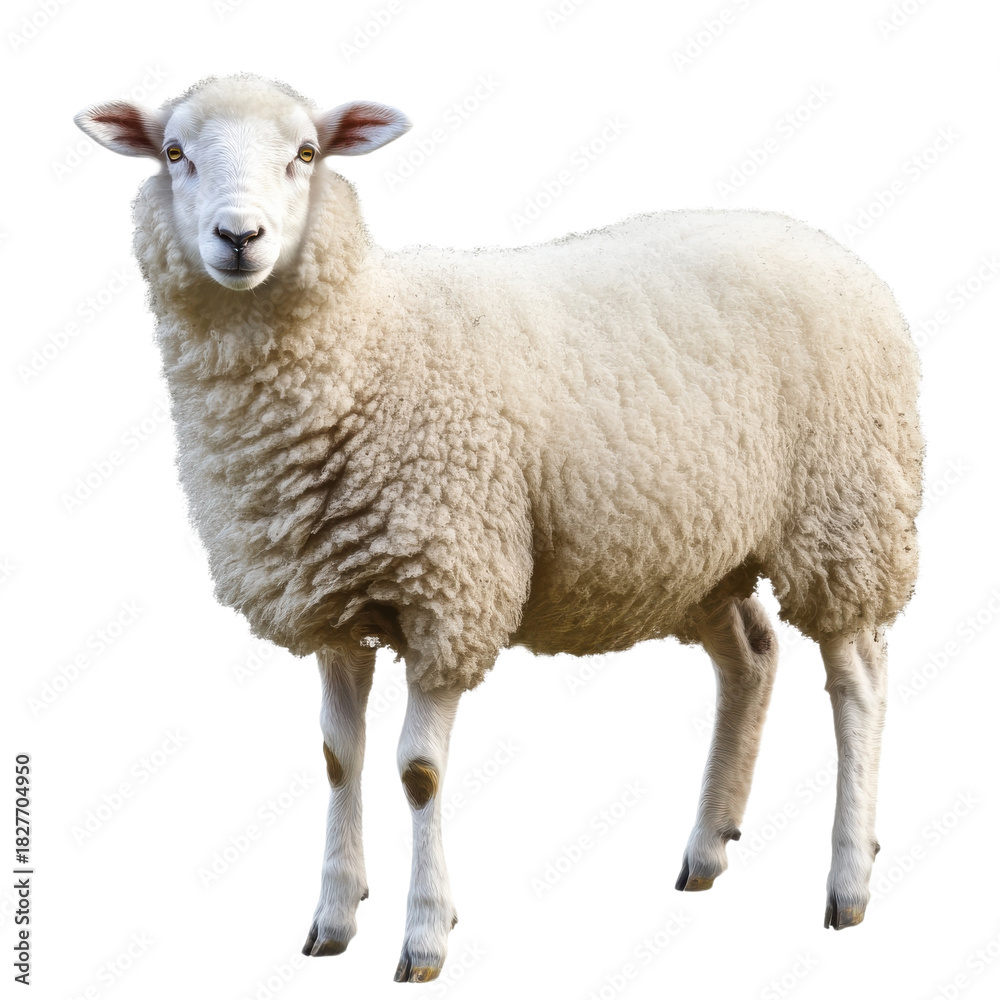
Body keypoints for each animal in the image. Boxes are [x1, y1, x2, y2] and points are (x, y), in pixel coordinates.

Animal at [75, 73, 922, 982]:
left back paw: (848, 881)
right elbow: (339, 758)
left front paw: (425, 936)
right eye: (174, 154)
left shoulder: (450, 589)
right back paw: (706, 849)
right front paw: (333, 919)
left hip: (846, 519)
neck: (365, 346)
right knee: (751, 658)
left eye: (306, 152)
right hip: (698, 547)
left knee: (857, 682)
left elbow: (417, 772)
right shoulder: (332, 594)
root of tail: (827, 246)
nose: (239, 237)